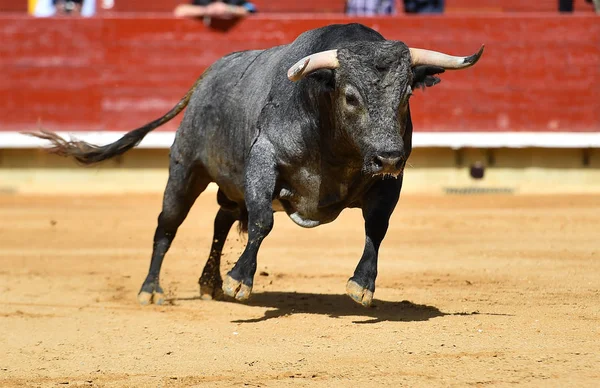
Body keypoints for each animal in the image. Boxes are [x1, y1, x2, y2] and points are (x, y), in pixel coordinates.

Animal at [31, 24, 482, 308]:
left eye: (407, 93)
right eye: (351, 96)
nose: (387, 156)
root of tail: (205, 79)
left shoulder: (390, 181)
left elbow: (377, 227)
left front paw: (362, 286)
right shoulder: (264, 159)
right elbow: (263, 221)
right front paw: (239, 281)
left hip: (230, 185)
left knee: (221, 220)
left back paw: (209, 283)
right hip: (185, 170)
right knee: (167, 226)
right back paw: (152, 290)